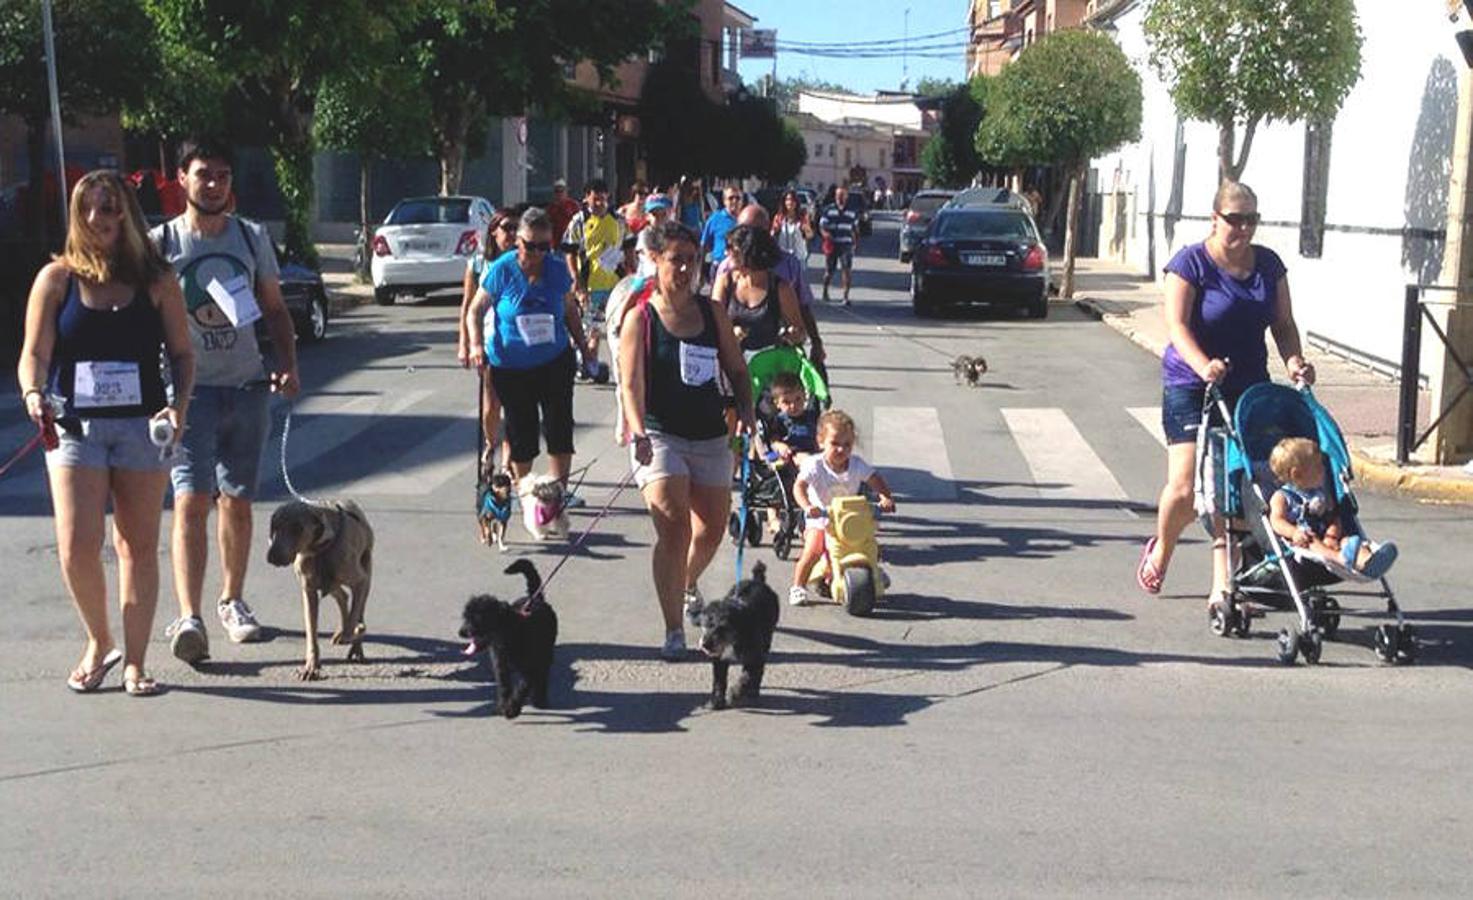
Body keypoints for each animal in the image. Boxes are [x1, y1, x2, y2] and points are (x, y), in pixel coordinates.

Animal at [268, 500, 377, 683]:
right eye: (274, 526)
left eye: (297, 528)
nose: (273, 556)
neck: (320, 550)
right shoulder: (308, 590)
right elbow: (312, 633)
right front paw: (311, 668)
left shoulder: (360, 581)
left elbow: (353, 620)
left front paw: (352, 633)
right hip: (330, 583)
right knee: (342, 596)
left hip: (365, 569)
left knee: (358, 607)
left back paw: (355, 646)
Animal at [459, 559, 556, 721]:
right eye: (466, 617)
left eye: (477, 618)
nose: (461, 632)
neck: (510, 631)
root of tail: (535, 599)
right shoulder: (500, 665)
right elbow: (504, 686)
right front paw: (502, 706)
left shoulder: (528, 668)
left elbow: (521, 688)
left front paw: (511, 710)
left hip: (546, 651)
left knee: (543, 674)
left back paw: (540, 700)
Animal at [689, 559, 783, 707]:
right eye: (705, 625)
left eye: (722, 627)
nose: (705, 644)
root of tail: (757, 580)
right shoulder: (719, 659)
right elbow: (719, 680)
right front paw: (716, 701)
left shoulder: (754, 656)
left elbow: (746, 677)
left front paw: (735, 693)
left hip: (766, 640)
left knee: (759, 670)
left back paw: (753, 691)